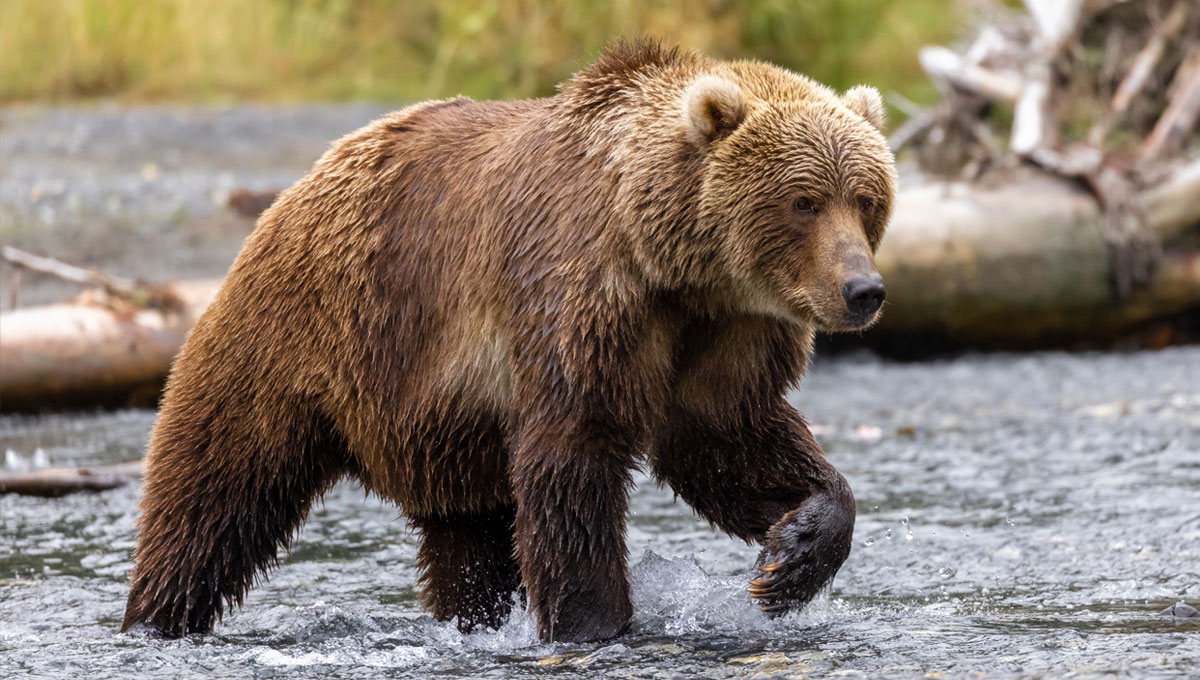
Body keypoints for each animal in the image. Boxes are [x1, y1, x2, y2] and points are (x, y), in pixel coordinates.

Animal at [121, 41, 897, 642]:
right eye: (803, 200)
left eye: (864, 197)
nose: (863, 289)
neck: (673, 265)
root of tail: (295, 192)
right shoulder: (580, 301)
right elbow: (572, 459)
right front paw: (595, 623)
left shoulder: (729, 331)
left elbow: (727, 439)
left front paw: (789, 559)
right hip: (298, 339)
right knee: (214, 491)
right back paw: (158, 616)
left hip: (445, 437)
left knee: (469, 541)